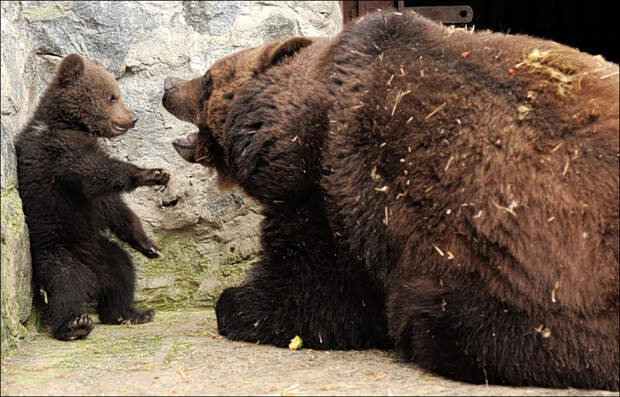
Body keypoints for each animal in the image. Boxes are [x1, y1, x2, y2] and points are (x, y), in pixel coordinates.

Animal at [162, 10, 616, 390]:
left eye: (207, 80)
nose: (168, 87)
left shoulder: (337, 183)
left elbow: (319, 288)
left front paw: (235, 303)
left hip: (524, 279)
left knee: (452, 327)